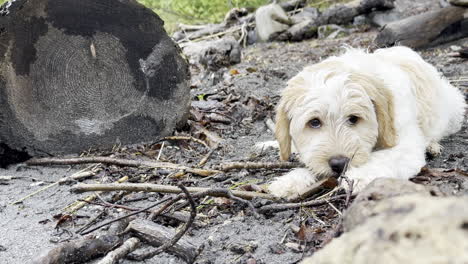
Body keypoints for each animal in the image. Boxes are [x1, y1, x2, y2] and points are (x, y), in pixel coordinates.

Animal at [268, 46, 466, 198]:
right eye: (314, 122)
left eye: (353, 119)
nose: (339, 164)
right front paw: (289, 181)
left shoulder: (406, 145)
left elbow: (386, 157)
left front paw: (359, 176)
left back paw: (432, 145)